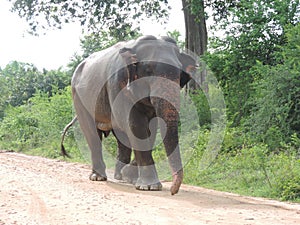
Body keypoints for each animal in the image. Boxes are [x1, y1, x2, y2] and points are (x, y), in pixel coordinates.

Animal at [61, 35, 197, 195]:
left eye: (179, 73)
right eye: (148, 69)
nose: (173, 191)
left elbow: (150, 129)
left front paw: (130, 177)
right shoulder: (118, 85)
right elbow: (136, 126)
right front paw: (149, 187)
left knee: (121, 137)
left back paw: (119, 176)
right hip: (78, 99)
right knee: (92, 133)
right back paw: (98, 177)